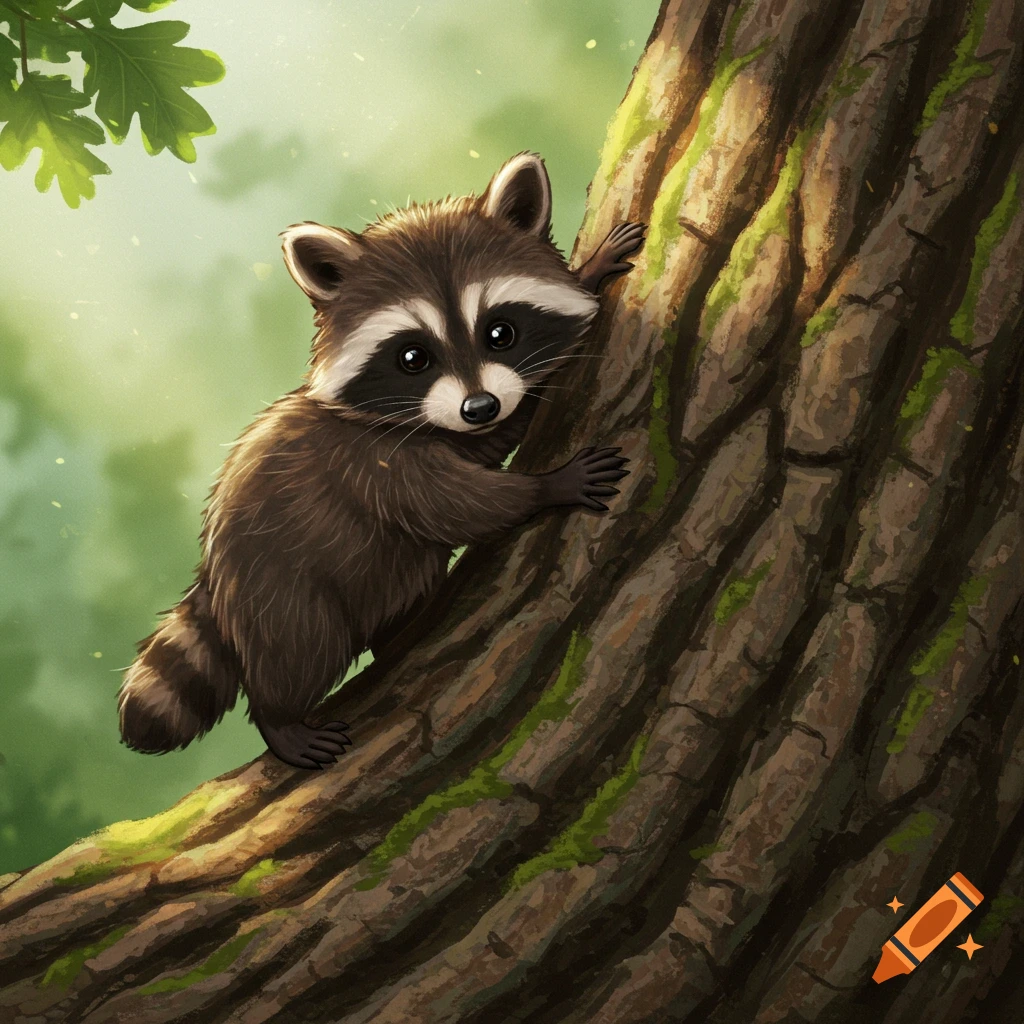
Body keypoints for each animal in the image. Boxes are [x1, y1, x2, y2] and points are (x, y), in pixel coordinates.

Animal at [117, 153, 645, 769]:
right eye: (413, 357)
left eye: (501, 332)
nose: (480, 406)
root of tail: (215, 575)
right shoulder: (366, 463)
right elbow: (456, 504)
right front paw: (549, 485)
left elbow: (485, 447)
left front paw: (589, 275)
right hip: (279, 588)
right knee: (298, 652)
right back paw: (279, 721)